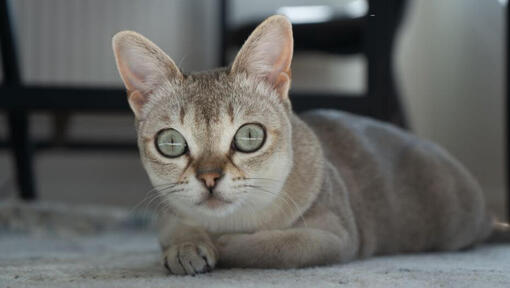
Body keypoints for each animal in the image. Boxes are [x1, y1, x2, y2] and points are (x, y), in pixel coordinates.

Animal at [112, 15, 510, 274]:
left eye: (249, 137)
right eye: (171, 143)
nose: (209, 179)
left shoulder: (332, 237)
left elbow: (268, 246)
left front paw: (217, 245)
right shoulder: (169, 216)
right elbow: (176, 232)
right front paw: (186, 247)